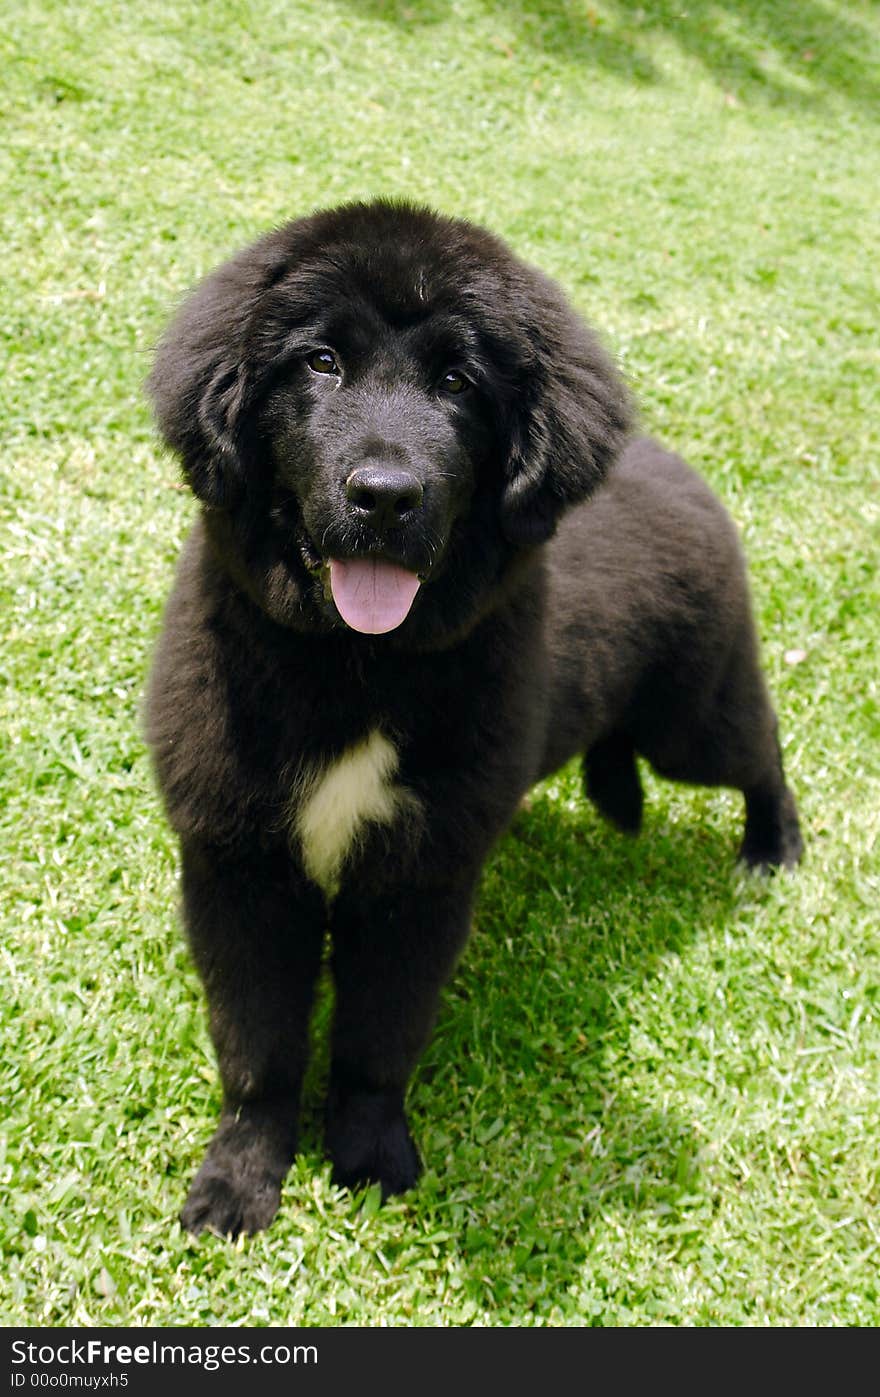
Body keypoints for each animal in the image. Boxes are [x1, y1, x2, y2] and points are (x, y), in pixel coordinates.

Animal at [146, 196, 804, 1234]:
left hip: (691, 716)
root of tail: (674, 464)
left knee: (762, 751)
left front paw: (371, 1157)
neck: (357, 667)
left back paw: (772, 850)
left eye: (457, 381)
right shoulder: (239, 863)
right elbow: (258, 1047)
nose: (384, 496)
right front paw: (238, 1181)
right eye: (319, 362)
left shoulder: (418, 875)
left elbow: (378, 1037)